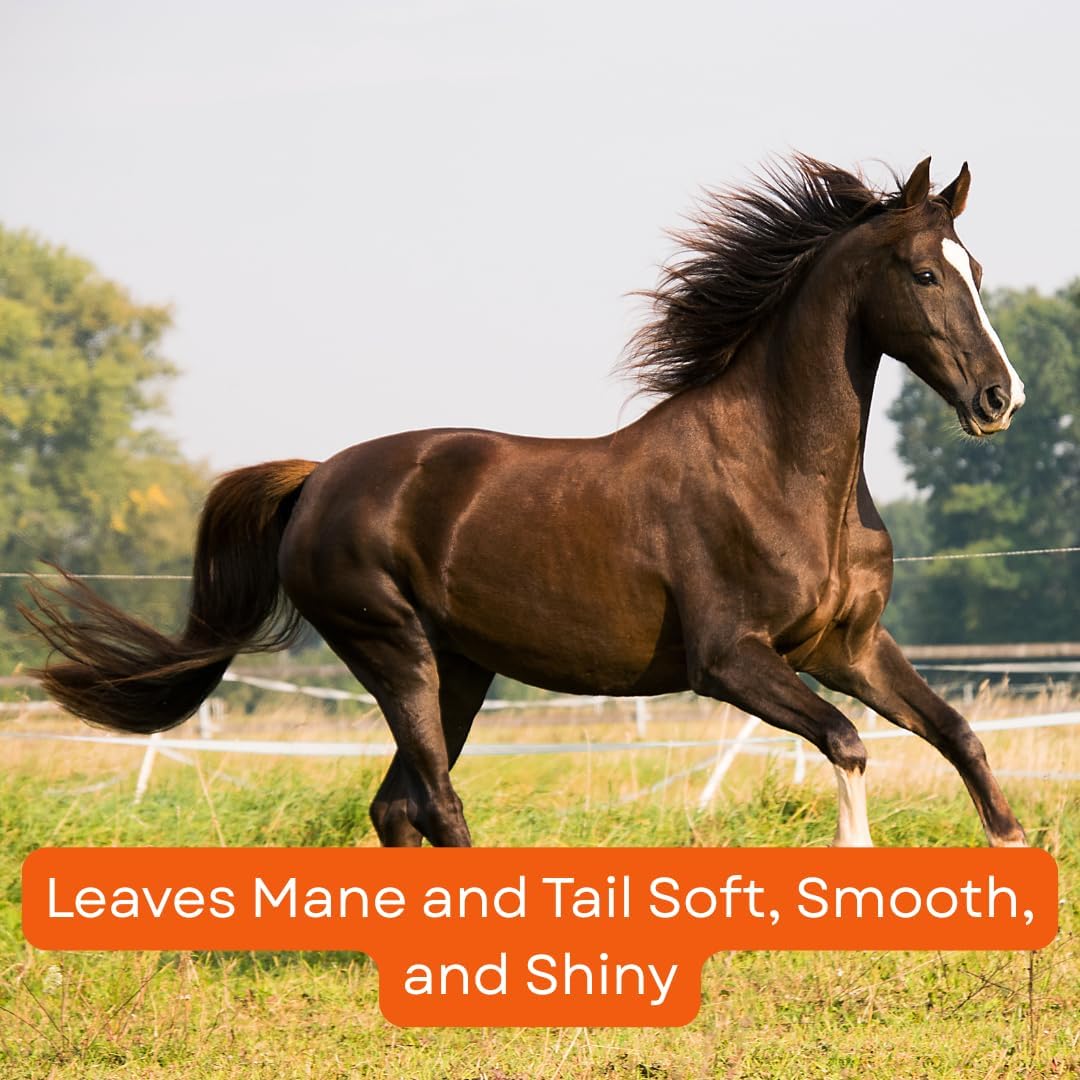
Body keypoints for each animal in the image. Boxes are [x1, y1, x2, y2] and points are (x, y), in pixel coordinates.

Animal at [23, 155, 1028, 849]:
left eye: (976, 267)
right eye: (926, 274)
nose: (999, 399)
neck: (779, 473)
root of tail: (315, 480)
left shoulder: (846, 647)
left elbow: (960, 736)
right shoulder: (730, 661)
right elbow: (848, 743)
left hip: (460, 669)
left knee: (396, 807)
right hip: (396, 655)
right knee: (436, 803)